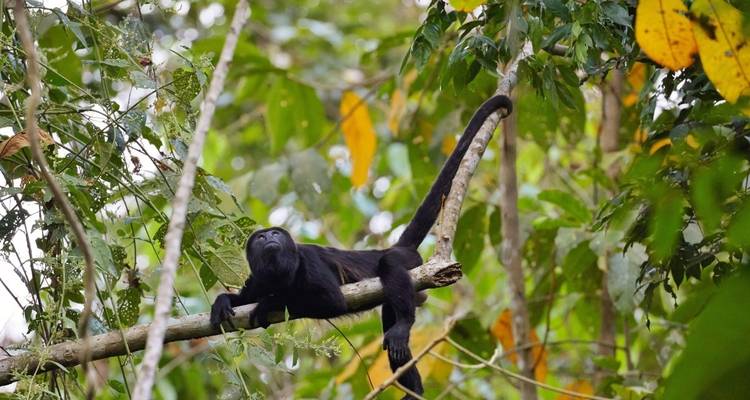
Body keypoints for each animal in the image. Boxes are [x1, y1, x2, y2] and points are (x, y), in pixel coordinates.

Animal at [210, 94, 512, 398]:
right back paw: (412, 387)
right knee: (389, 318)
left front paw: (269, 303)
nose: (271, 237)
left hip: (407, 259)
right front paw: (223, 301)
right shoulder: (257, 278)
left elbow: (330, 301)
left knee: (390, 267)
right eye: (261, 238)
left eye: (276, 234)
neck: (279, 274)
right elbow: (243, 298)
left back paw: (403, 326)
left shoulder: (308, 260)